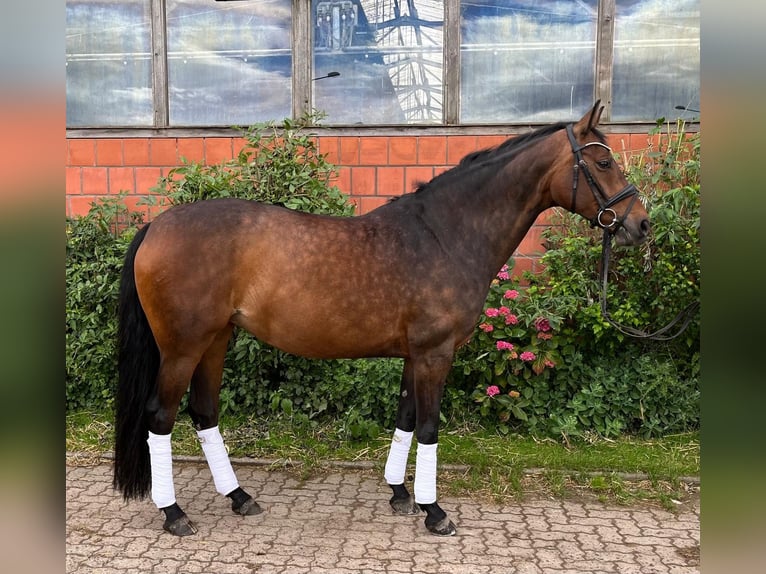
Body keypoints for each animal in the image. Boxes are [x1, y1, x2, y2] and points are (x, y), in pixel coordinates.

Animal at [114, 103, 652, 540]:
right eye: (603, 162)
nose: (640, 224)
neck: (444, 235)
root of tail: (157, 226)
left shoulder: (416, 355)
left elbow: (406, 419)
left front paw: (400, 495)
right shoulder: (436, 353)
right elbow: (430, 427)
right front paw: (435, 512)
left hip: (216, 340)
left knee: (205, 412)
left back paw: (240, 498)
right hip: (183, 347)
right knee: (160, 418)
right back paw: (174, 514)